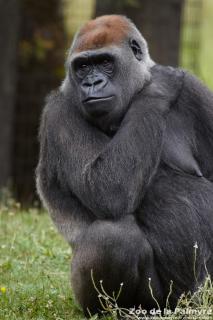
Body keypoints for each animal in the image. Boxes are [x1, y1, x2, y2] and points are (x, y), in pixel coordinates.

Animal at [36, 14, 213, 316]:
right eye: (83, 67)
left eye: (105, 62)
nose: (92, 83)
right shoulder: (59, 113)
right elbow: (106, 189)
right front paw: (157, 89)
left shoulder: (197, 94)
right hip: (164, 303)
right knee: (115, 235)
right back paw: (120, 310)